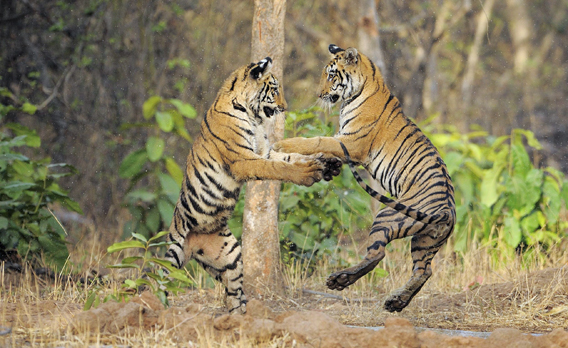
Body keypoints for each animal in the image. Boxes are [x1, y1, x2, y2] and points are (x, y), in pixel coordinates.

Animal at [162, 57, 340, 316]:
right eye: (274, 90)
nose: (285, 107)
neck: (250, 114)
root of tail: (192, 249)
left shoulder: (264, 151)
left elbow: (291, 157)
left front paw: (327, 162)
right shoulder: (244, 160)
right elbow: (279, 168)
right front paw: (308, 173)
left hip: (232, 256)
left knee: (233, 296)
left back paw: (241, 319)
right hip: (172, 252)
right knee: (156, 280)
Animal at [272, 44, 454, 312]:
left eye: (331, 75)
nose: (318, 94)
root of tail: (447, 211)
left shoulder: (351, 143)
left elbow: (318, 140)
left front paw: (283, 144)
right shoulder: (346, 143)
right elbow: (323, 151)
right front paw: (321, 166)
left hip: (388, 216)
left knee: (377, 254)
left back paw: (340, 280)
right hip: (426, 241)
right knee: (424, 270)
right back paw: (397, 301)